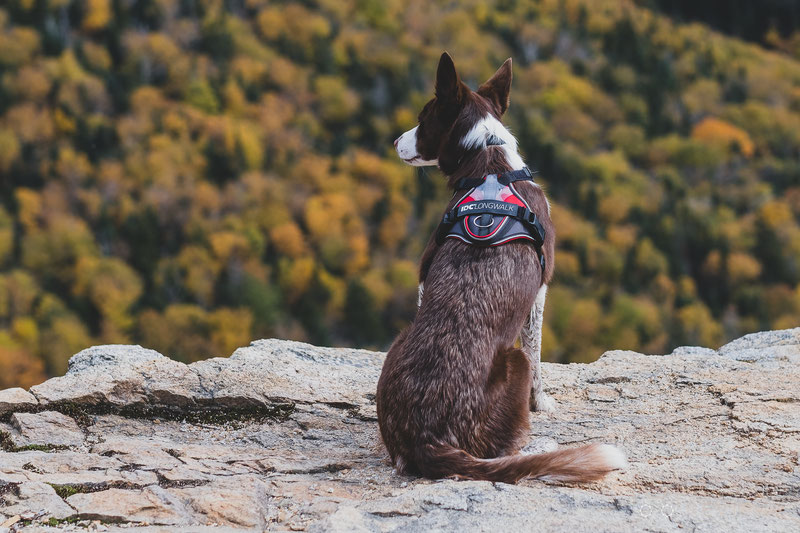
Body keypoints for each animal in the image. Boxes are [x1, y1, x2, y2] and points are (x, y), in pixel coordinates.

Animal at [378, 53, 628, 482]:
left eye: (424, 118)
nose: (395, 141)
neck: (489, 159)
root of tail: (428, 438)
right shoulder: (540, 291)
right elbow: (539, 359)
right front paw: (542, 405)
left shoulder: (426, 276)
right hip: (513, 363)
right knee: (507, 450)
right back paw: (542, 448)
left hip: (398, 342)